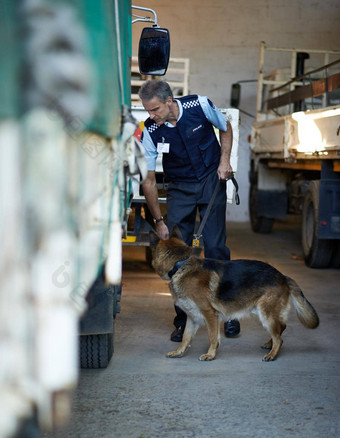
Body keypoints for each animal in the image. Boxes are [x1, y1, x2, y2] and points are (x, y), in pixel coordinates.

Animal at [149, 228, 318, 362]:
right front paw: (179, 352)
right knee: (281, 328)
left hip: (266, 315)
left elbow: (212, 337)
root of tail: (283, 276)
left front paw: (210, 355)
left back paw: (272, 354)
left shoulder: (210, 314)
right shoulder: (192, 317)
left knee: (280, 338)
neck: (180, 265)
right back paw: (270, 345)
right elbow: (185, 338)